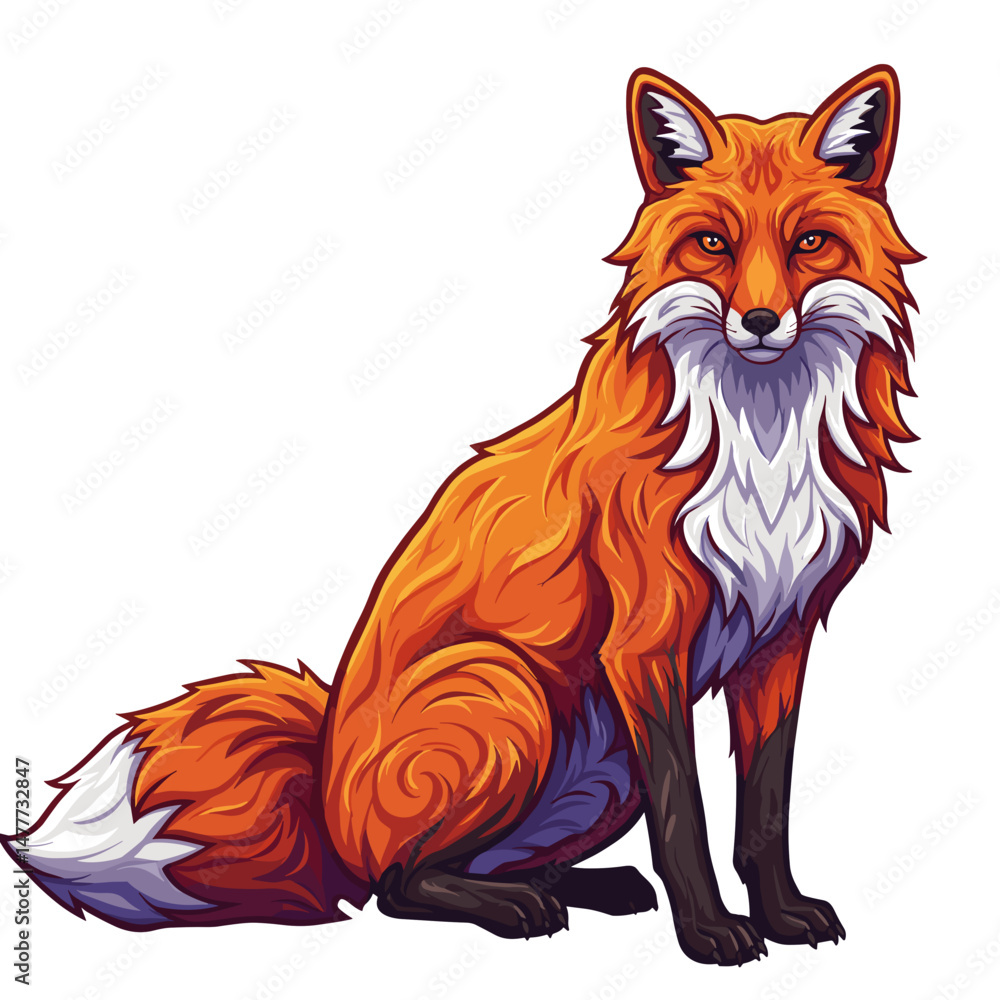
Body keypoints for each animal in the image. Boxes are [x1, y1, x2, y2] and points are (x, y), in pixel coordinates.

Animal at [3, 66, 920, 967]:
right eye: (713, 244)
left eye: (809, 243)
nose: (760, 323)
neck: (761, 440)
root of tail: (325, 794)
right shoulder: (645, 643)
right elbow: (684, 816)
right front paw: (707, 935)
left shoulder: (779, 640)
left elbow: (765, 810)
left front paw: (782, 914)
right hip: (503, 685)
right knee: (394, 885)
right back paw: (519, 909)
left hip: (597, 765)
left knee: (475, 863)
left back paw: (582, 888)